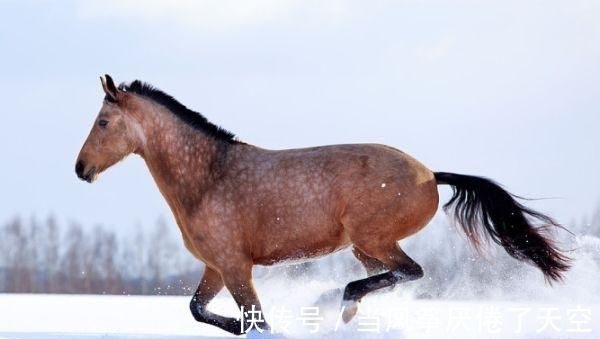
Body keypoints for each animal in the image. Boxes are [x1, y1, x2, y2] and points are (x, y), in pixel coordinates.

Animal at [76, 75, 572, 338]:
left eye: (103, 122)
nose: (81, 169)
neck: (207, 177)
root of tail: (431, 174)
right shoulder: (215, 267)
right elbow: (198, 309)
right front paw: (238, 327)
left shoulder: (236, 267)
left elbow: (256, 320)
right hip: (364, 246)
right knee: (390, 275)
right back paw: (342, 307)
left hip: (374, 238)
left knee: (409, 272)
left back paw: (339, 300)